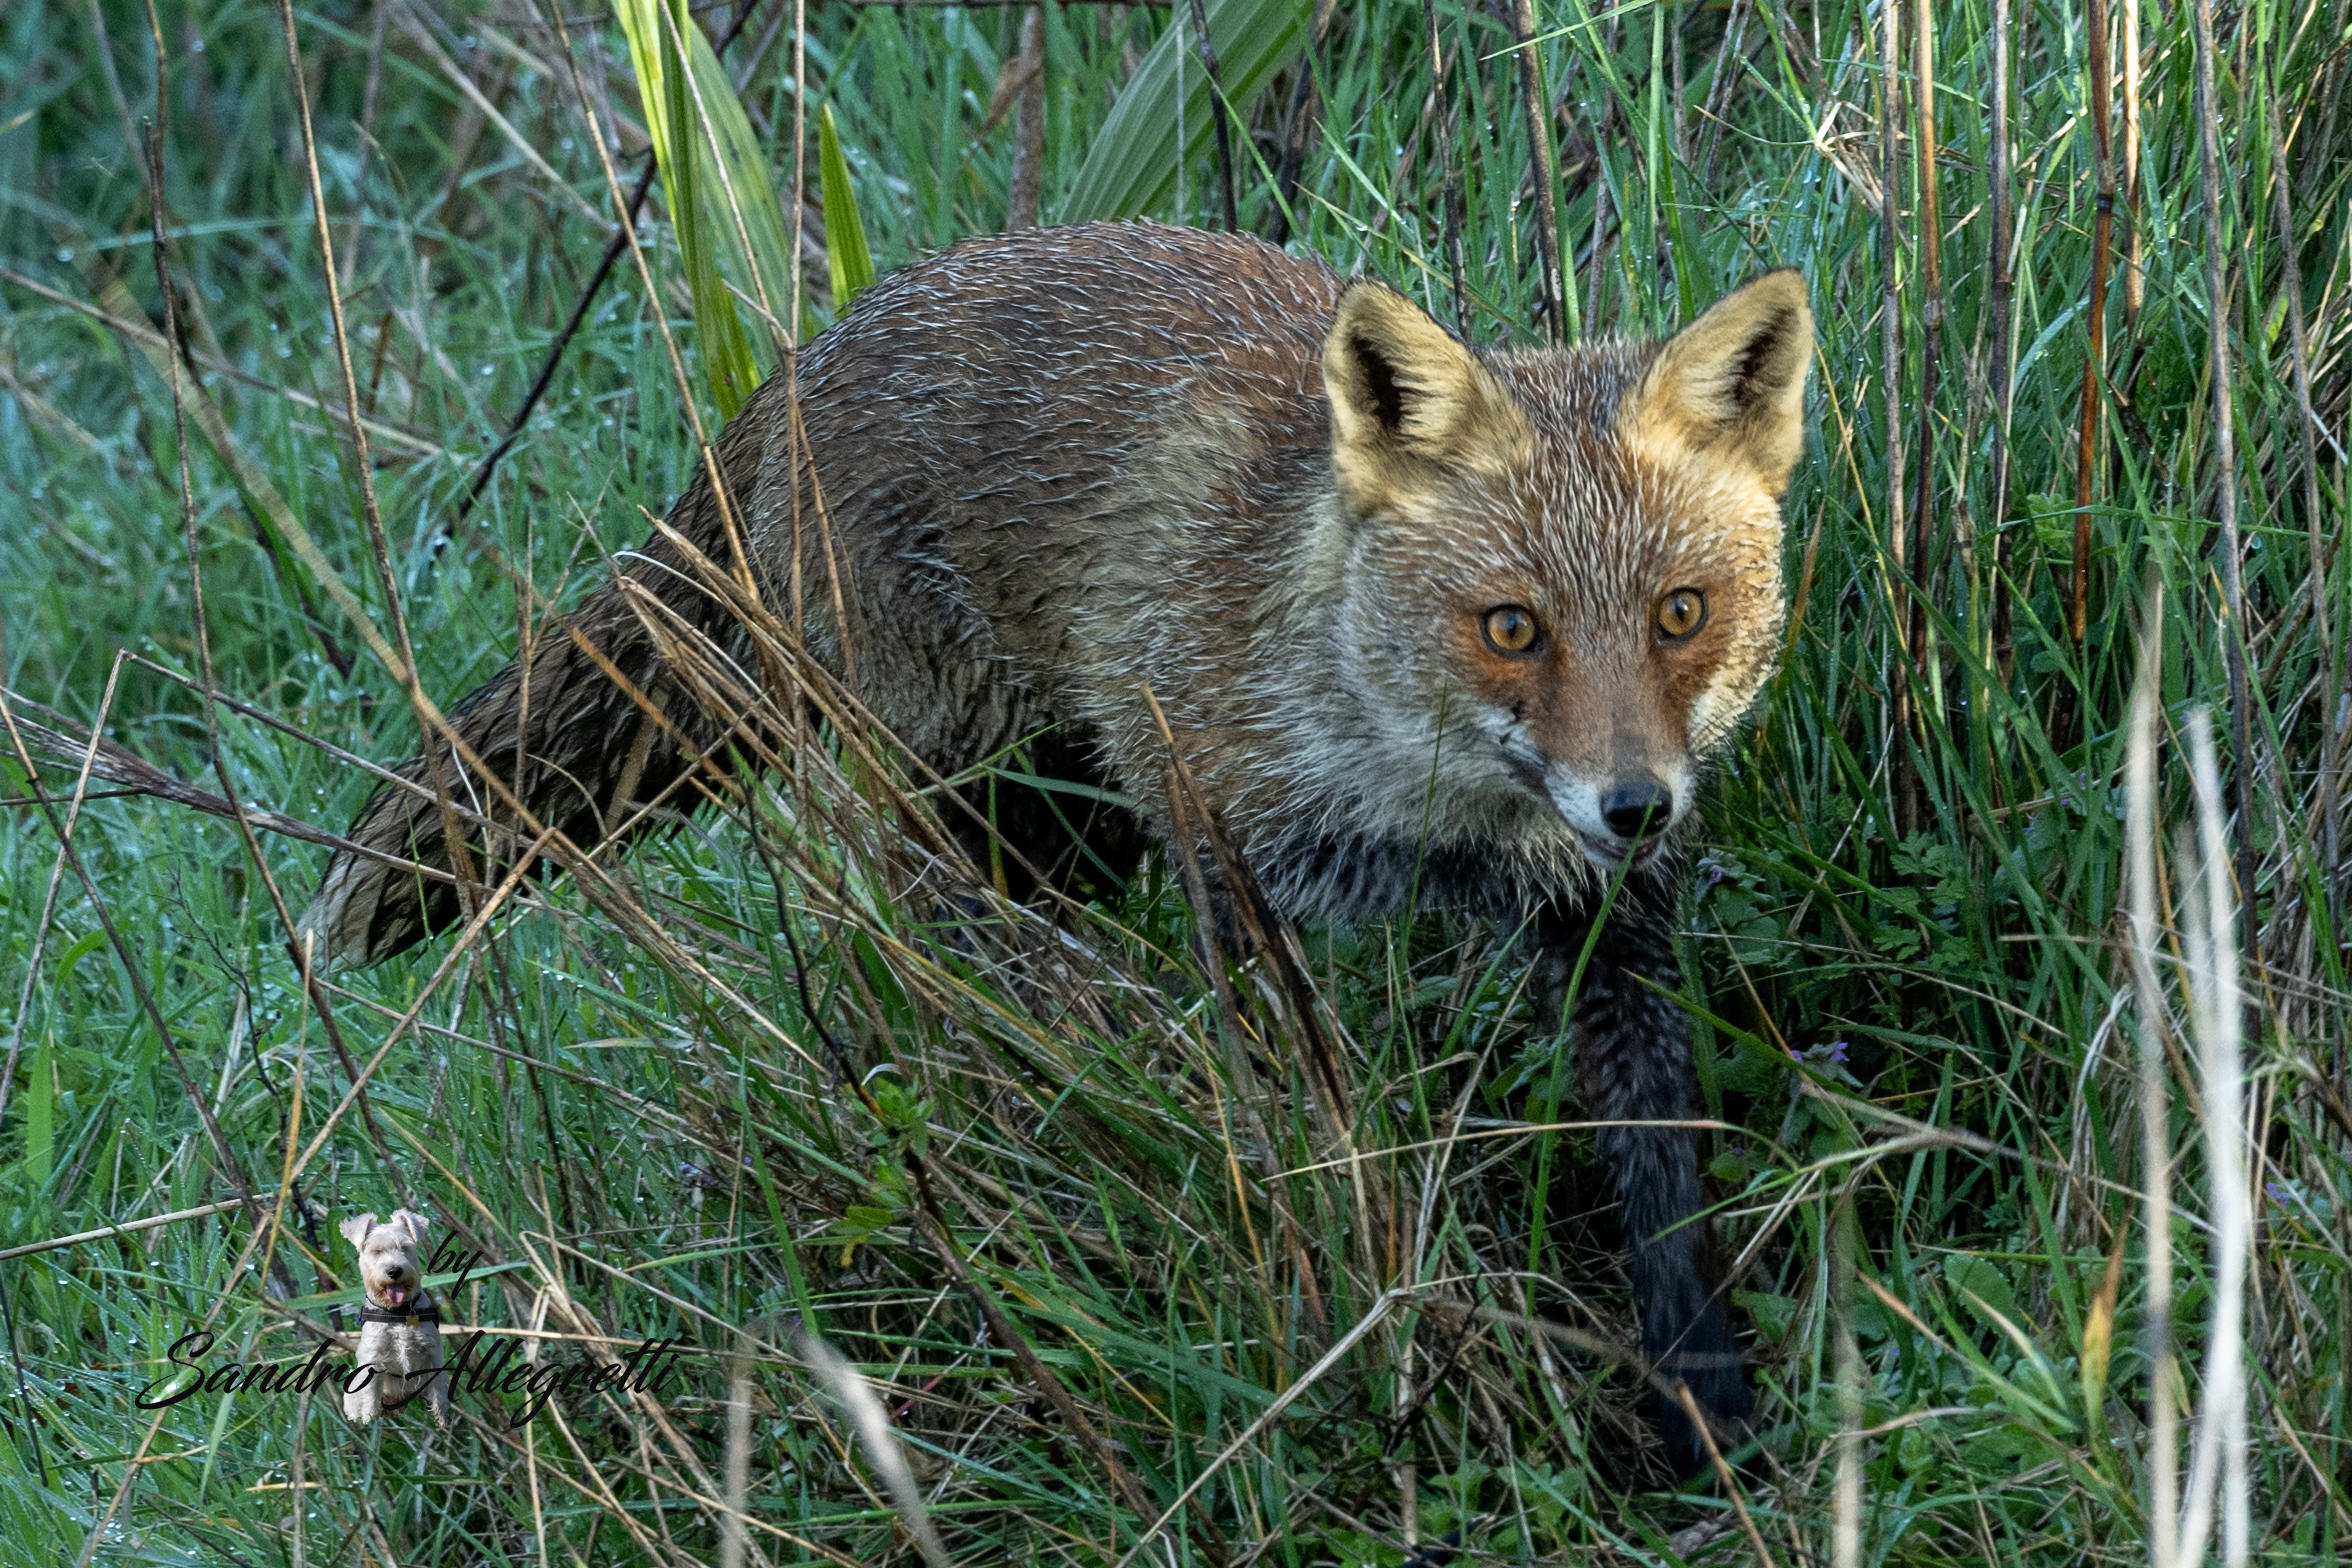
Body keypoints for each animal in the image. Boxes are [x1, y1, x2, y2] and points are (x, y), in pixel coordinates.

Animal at [298, 221, 1811, 1470]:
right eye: (1511, 627)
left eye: (1681, 613)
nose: (1636, 804)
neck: (1424, 812)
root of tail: (799, 361)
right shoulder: (1226, 870)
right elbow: (1318, 1139)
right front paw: (1378, 1307)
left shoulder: (1605, 926)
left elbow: (1662, 1171)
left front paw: (1703, 1399)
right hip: (963, 812)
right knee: (948, 974)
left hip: (1073, 831)